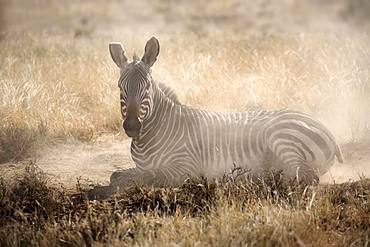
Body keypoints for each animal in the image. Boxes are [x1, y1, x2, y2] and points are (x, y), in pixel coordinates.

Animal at [105, 36, 344, 194]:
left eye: (147, 88)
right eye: (120, 88)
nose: (132, 126)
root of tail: (324, 128)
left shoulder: (184, 166)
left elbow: (150, 175)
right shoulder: (142, 165)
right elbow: (117, 175)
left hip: (281, 137)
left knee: (306, 177)